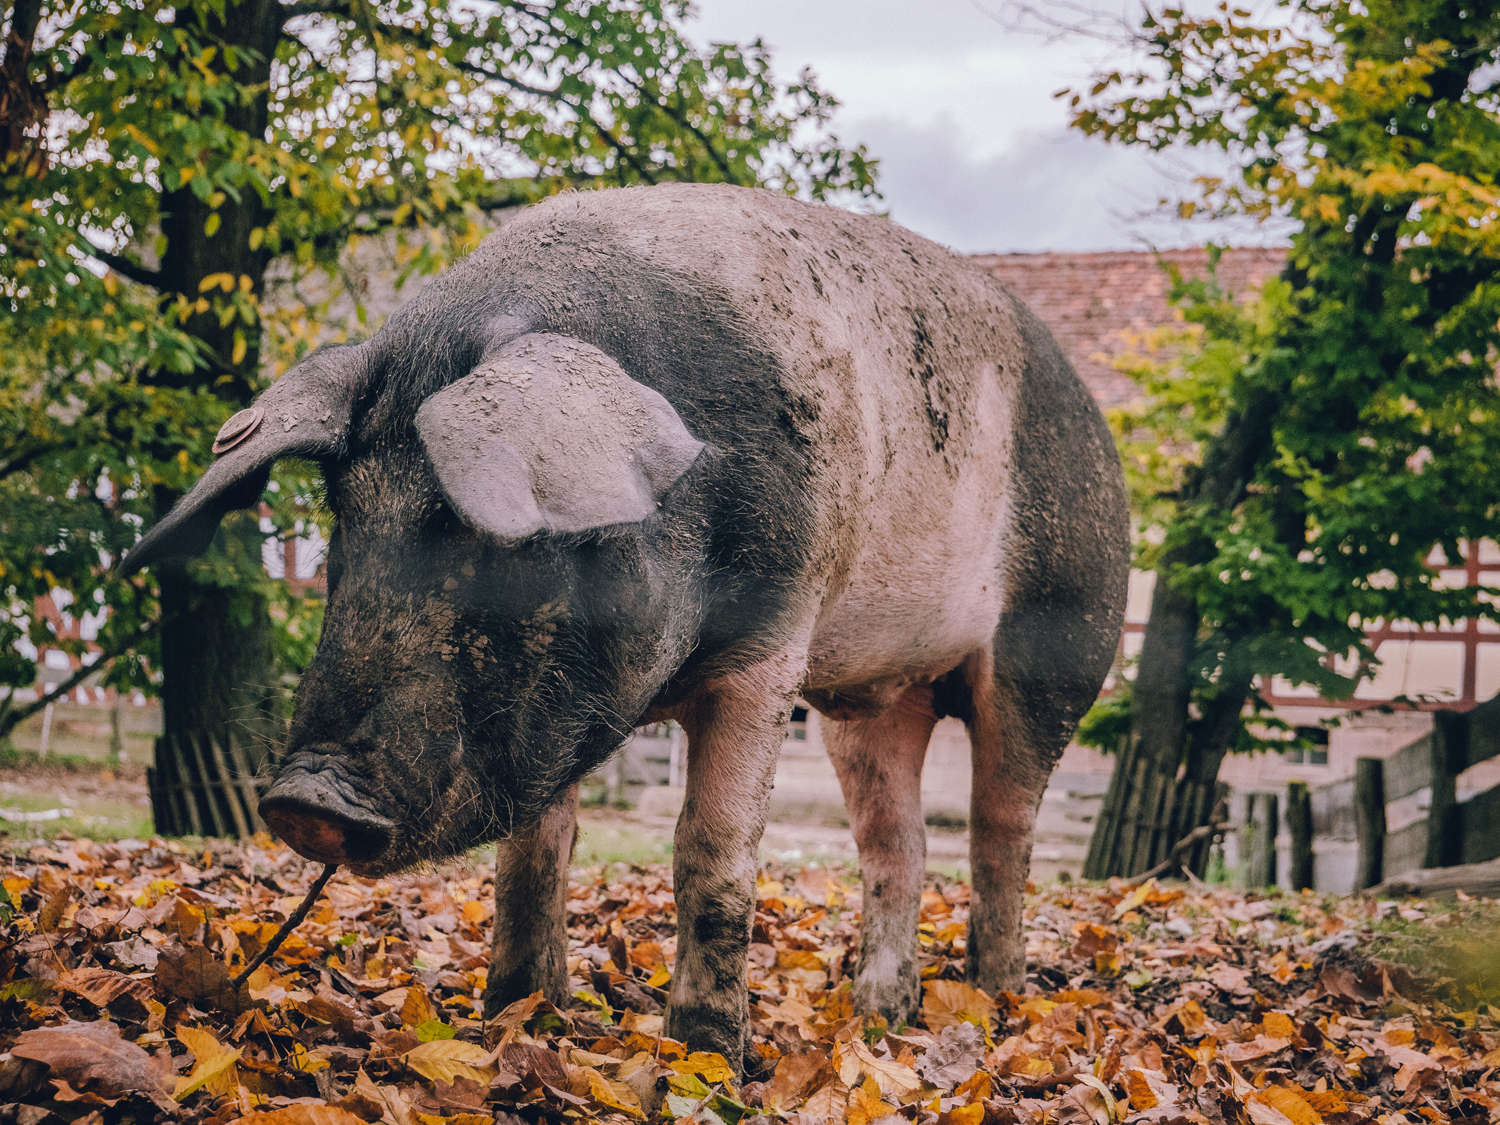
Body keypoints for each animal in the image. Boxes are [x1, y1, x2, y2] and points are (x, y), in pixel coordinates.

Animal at [126, 185, 1128, 1068]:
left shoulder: (774, 646)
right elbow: (534, 853)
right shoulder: (551, 723)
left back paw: (994, 1002)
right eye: (347, 517)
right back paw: (880, 1013)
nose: (309, 798)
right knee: (899, 843)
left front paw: (707, 1057)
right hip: (871, 702)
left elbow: (712, 852)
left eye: (504, 531)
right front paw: (518, 1016)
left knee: (1002, 830)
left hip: (1060, 643)